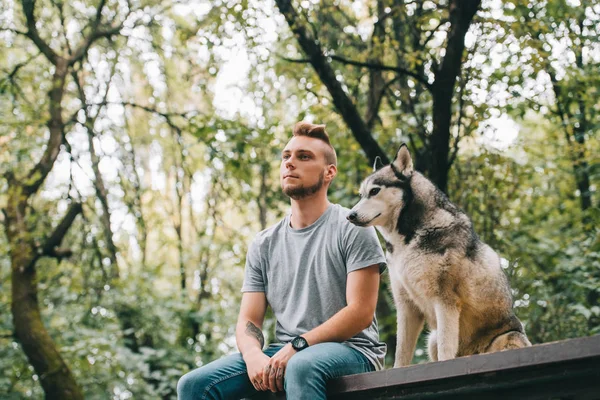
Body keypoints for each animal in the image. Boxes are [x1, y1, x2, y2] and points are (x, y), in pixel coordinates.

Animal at [346, 145, 528, 368]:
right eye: (361, 194)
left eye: (374, 191)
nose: (350, 216)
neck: (407, 239)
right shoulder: (406, 306)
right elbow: (401, 354)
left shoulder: (445, 301)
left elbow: (445, 351)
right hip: (431, 339)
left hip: (508, 338)